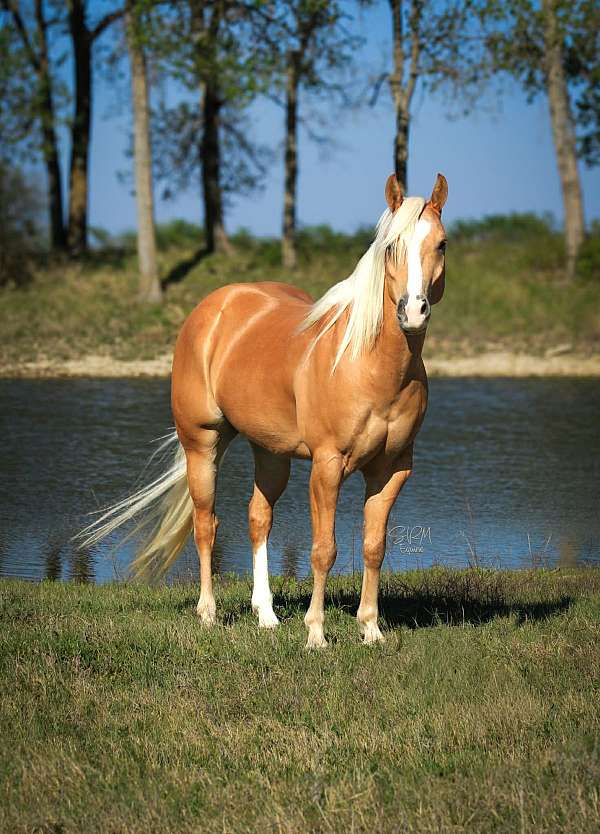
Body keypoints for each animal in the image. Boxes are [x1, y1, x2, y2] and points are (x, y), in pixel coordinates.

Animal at [82, 172, 448, 648]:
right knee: (207, 524)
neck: (368, 363)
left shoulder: (392, 469)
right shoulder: (327, 467)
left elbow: (373, 546)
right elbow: (324, 549)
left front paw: (371, 630)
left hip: (271, 453)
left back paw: (267, 615)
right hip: (203, 443)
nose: (413, 311)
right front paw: (316, 634)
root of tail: (216, 306)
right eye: (391, 246)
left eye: (441, 243)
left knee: (258, 517)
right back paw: (208, 613)